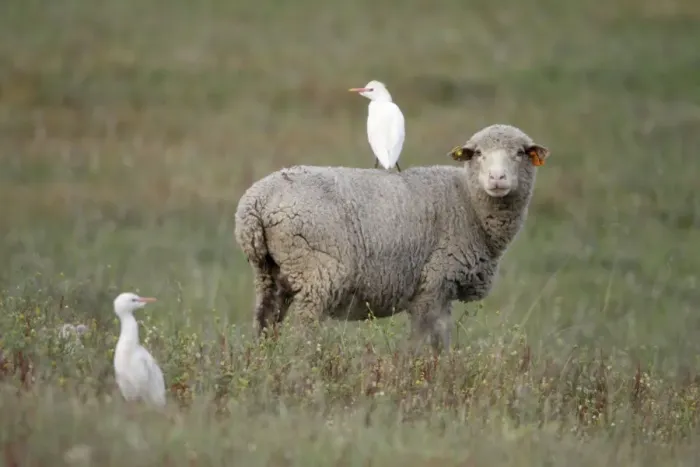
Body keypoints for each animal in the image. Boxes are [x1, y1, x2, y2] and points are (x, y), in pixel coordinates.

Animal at [234, 123, 550, 352]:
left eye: (520, 153)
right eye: (478, 154)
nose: (497, 179)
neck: (468, 202)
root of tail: (257, 201)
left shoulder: (441, 291)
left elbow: (442, 341)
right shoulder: (433, 284)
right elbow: (426, 341)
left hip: (268, 272)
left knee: (265, 321)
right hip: (317, 272)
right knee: (303, 330)